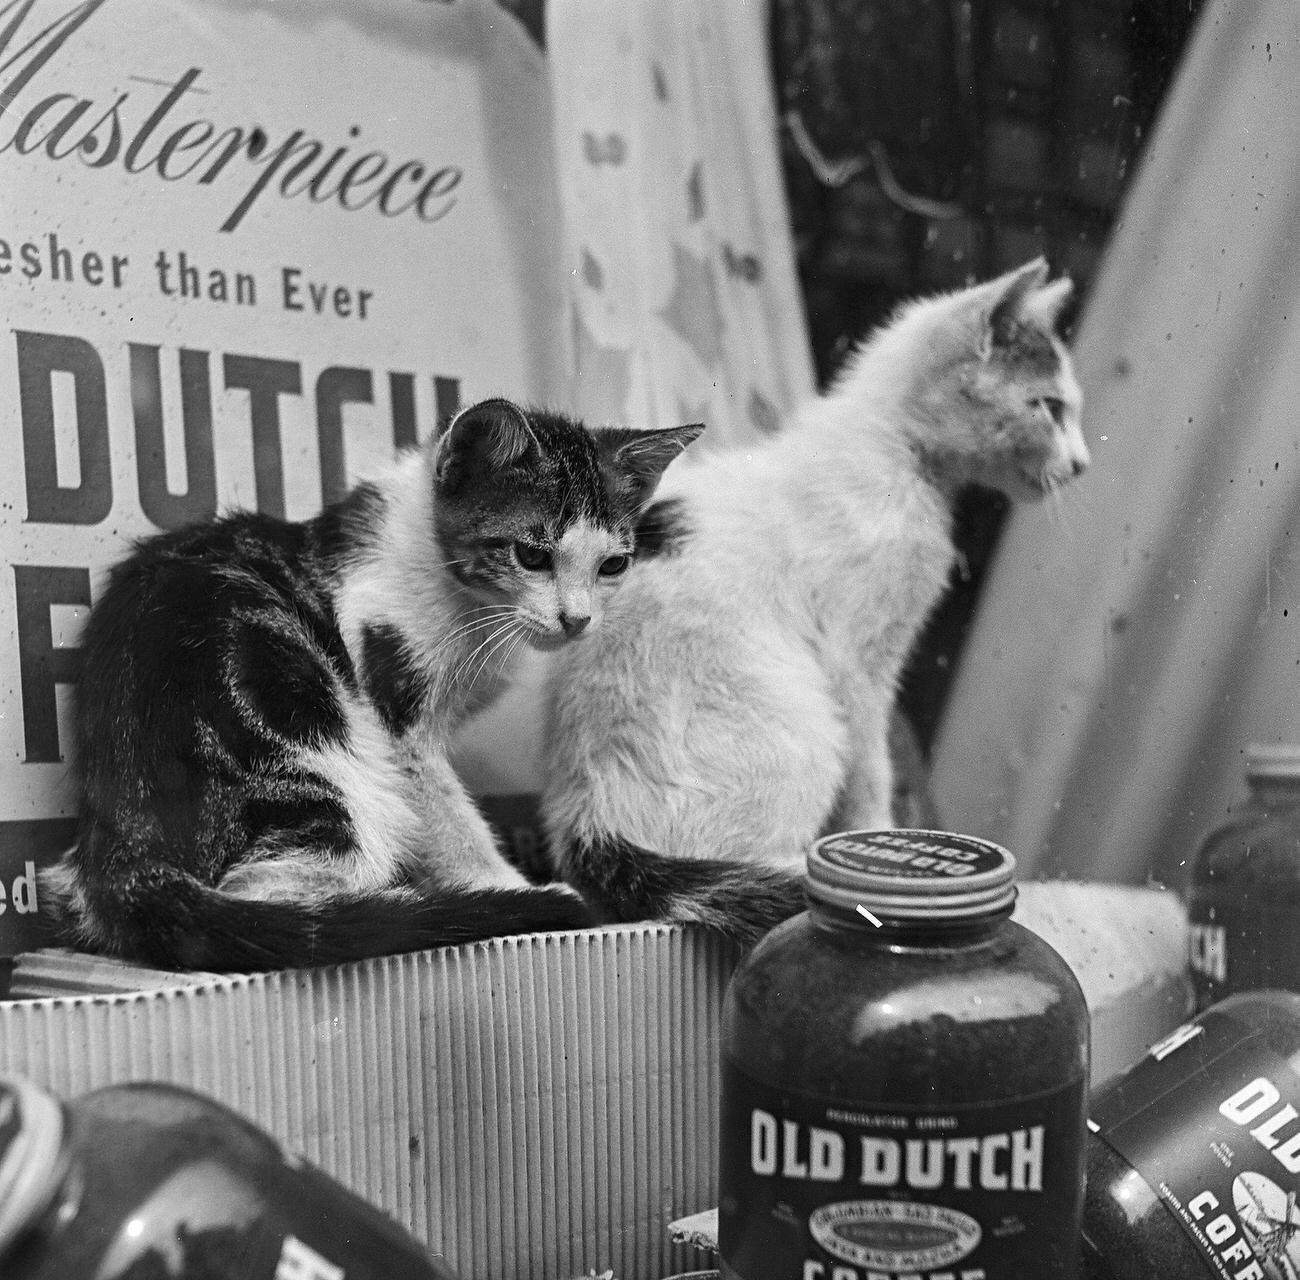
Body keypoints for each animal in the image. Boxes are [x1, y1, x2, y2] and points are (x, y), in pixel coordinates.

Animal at [43, 400, 702, 966]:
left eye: (613, 565)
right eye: (531, 556)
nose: (576, 620)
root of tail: (122, 846)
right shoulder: (394, 705)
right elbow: (447, 815)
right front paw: (502, 882)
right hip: (321, 749)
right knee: (277, 898)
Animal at [543, 257, 1092, 940]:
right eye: (1049, 407)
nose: (1082, 463)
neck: (893, 452)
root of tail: (587, 820)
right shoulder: (859, 661)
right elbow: (872, 767)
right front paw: (877, 838)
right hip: (806, 727)